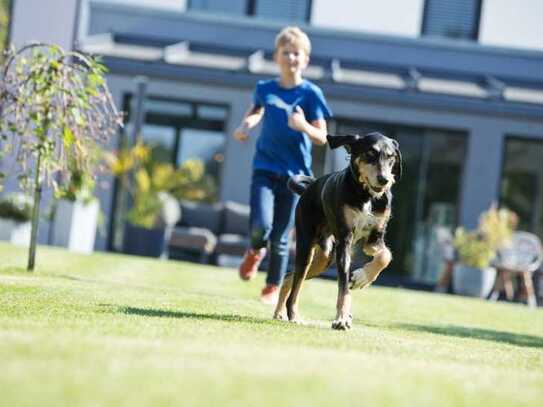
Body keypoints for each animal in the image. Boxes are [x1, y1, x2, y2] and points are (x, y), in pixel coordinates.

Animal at [274, 132, 402, 330]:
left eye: (391, 157)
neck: (366, 195)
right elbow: (343, 287)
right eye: (370, 153)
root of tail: (309, 187)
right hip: (306, 247)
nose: (384, 180)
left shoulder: (375, 239)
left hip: (324, 257)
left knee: (289, 276)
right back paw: (292, 315)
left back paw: (279, 313)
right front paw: (341, 319)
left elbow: (385, 256)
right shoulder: (345, 241)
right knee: (295, 287)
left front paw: (362, 277)